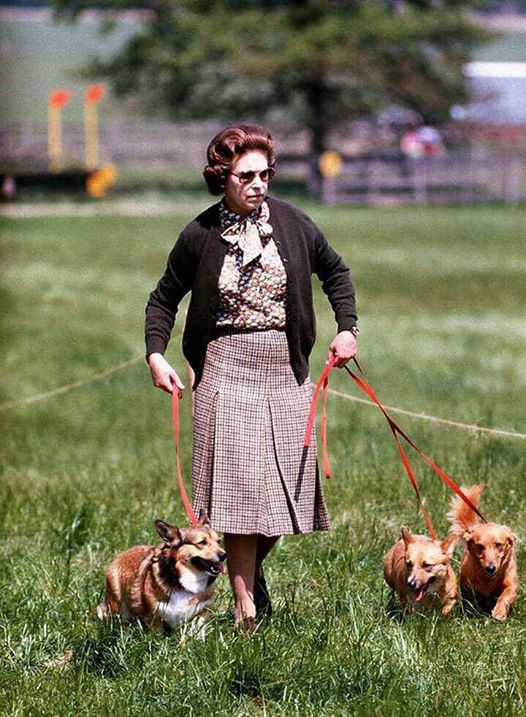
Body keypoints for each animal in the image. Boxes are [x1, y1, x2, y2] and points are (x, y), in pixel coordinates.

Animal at [96, 510, 227, 632]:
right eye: (202, 543)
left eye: (219, 541)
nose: (224, 555)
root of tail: (122, 554)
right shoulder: (155, 617)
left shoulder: (204, 611)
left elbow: (198, 628)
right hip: (116, 603)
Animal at [448, 484, 518, 621]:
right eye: (480, 546)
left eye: (499, 545)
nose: (490, 568)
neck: (489, 580)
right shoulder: (467, 585)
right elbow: (471, 598)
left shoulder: (511, 585)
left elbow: (505, 596)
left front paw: (499, 612)